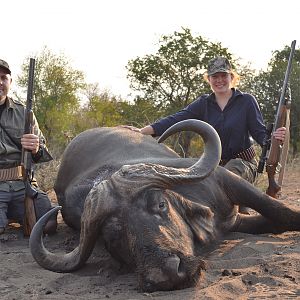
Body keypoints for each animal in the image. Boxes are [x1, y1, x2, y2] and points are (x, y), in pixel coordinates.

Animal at [29, 118, 300, 292]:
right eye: (112, 238)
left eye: (160, 205)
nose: (166, 274)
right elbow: (274, 222)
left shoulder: (228, 182)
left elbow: (282, 213)